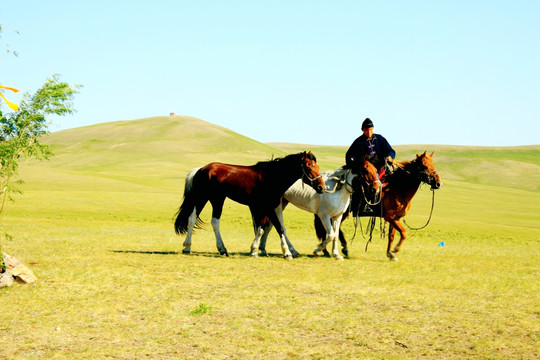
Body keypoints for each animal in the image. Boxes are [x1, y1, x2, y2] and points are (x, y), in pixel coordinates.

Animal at [174, 151, 324, 258]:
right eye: (308, 166)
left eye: (317, 166)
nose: (321, 187)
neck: (273, 177)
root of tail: (200, 169)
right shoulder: (266, 207)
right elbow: (272, 228)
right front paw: (285, 252)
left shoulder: (270, 206)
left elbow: (268, 228)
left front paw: (256, 250)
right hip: (206, 198)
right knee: (198, 220)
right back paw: (205, 247)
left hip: (215, 199)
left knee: (204, 220)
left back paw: (195, 248)